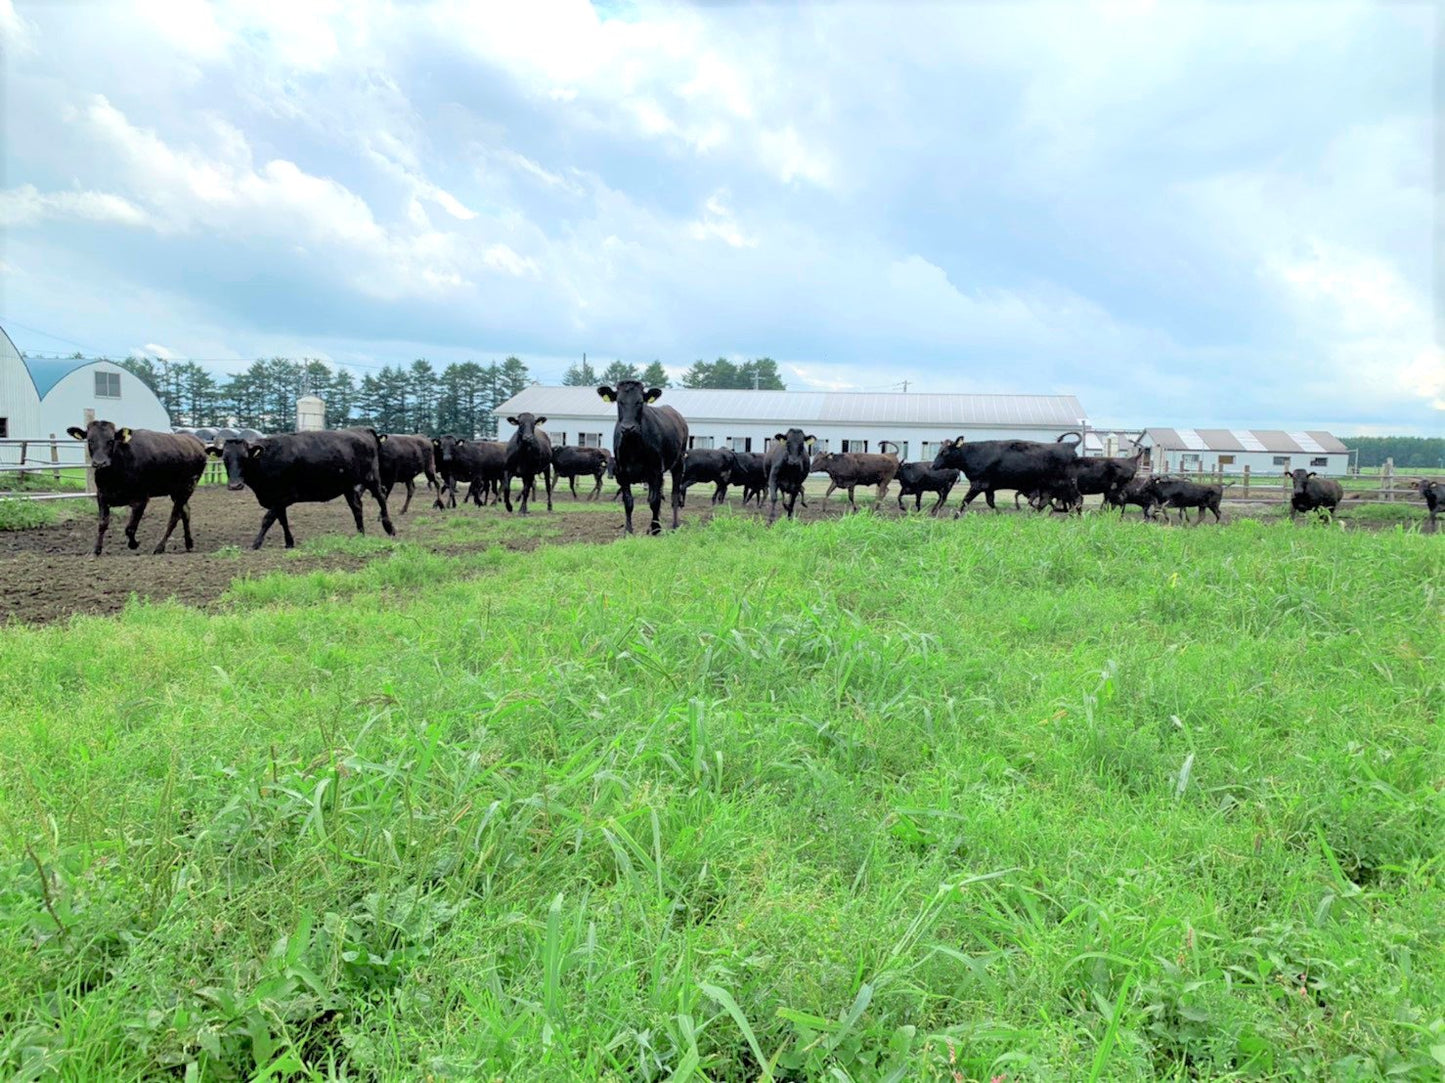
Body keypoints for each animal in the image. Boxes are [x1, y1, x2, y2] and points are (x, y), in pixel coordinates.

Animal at [67, 419, 208, 558]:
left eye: (111, 441)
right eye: (90, 440)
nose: (100, 463)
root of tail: (197, 442)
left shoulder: (141, 499)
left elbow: (129, 528)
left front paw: (134, 544)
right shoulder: (101, 496)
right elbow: (102, 524)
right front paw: (96, 550)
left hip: (187, 488)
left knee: (174, 517)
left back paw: (160, 547)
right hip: (176, 491)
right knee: (186, 512)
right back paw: (189, 543)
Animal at [206, 427, 393, 549]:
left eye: (245, 458)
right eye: (225, 458)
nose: (234, 485)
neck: (267, 458)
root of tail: (363, 430)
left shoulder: (285, 497)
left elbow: (268, 519)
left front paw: (256, 543)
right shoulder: (276, 499)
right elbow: (282, 520)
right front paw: (289, 542)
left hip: (371, 478)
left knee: (381, 498)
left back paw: (389, 528)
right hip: (348, 486)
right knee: (357, 508)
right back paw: (361, 535)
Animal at [598, 378, 687, 532]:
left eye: (640, 402)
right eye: (619, 401)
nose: (628, 428)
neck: (633, 446)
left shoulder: (656, 471)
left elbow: (654, 501)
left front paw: (656, 529)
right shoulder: (622, 474)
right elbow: (628, 501)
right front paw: (628, 530)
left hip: (678, 463)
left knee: (674, 495)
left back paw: (674, 525)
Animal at [930, 427, 1080, 514]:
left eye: (944, 452)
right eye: (939, 450)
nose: (933, 466)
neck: (973, 454)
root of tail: (1069, 445)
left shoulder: (978, 484)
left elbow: (964, 501)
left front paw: (955, 518)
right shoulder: (989, 487)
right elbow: (990, 503)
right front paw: (999, 515)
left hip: (1065, 484)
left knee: (1076, 499)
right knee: (1047, 502)